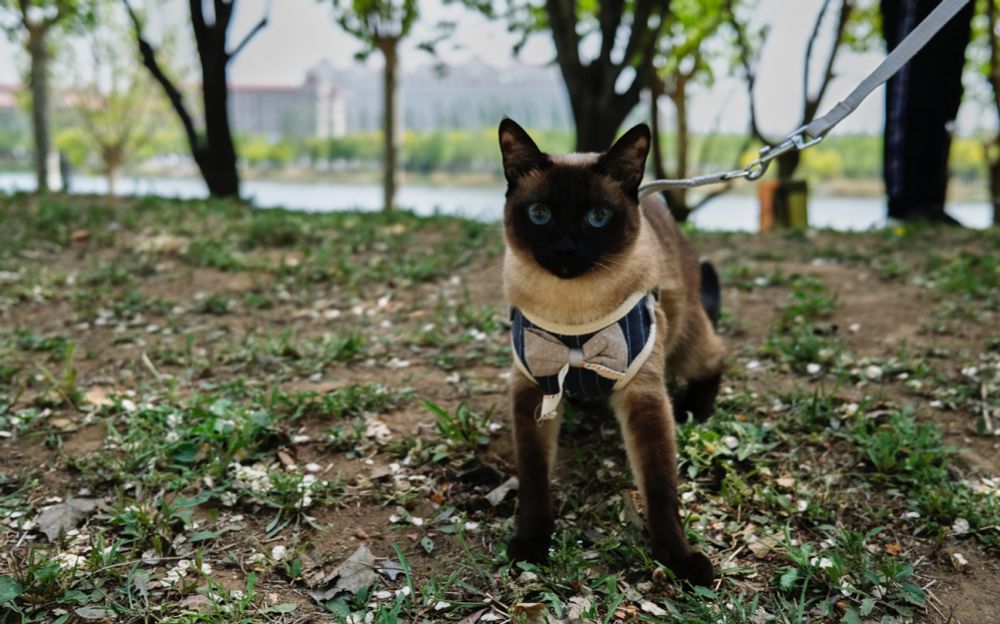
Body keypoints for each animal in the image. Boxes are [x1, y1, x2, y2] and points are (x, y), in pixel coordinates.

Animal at [504, 119, 724, 588]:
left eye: (598, 218)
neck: (572, 313)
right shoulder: (533, 389)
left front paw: (680, 560)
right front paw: (530, 545)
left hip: (685, 343)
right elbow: (534, 479)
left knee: (716, 357)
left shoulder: (643, 394)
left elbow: (660, 487)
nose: (566, 249)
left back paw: (693, 410)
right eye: (540, 215)